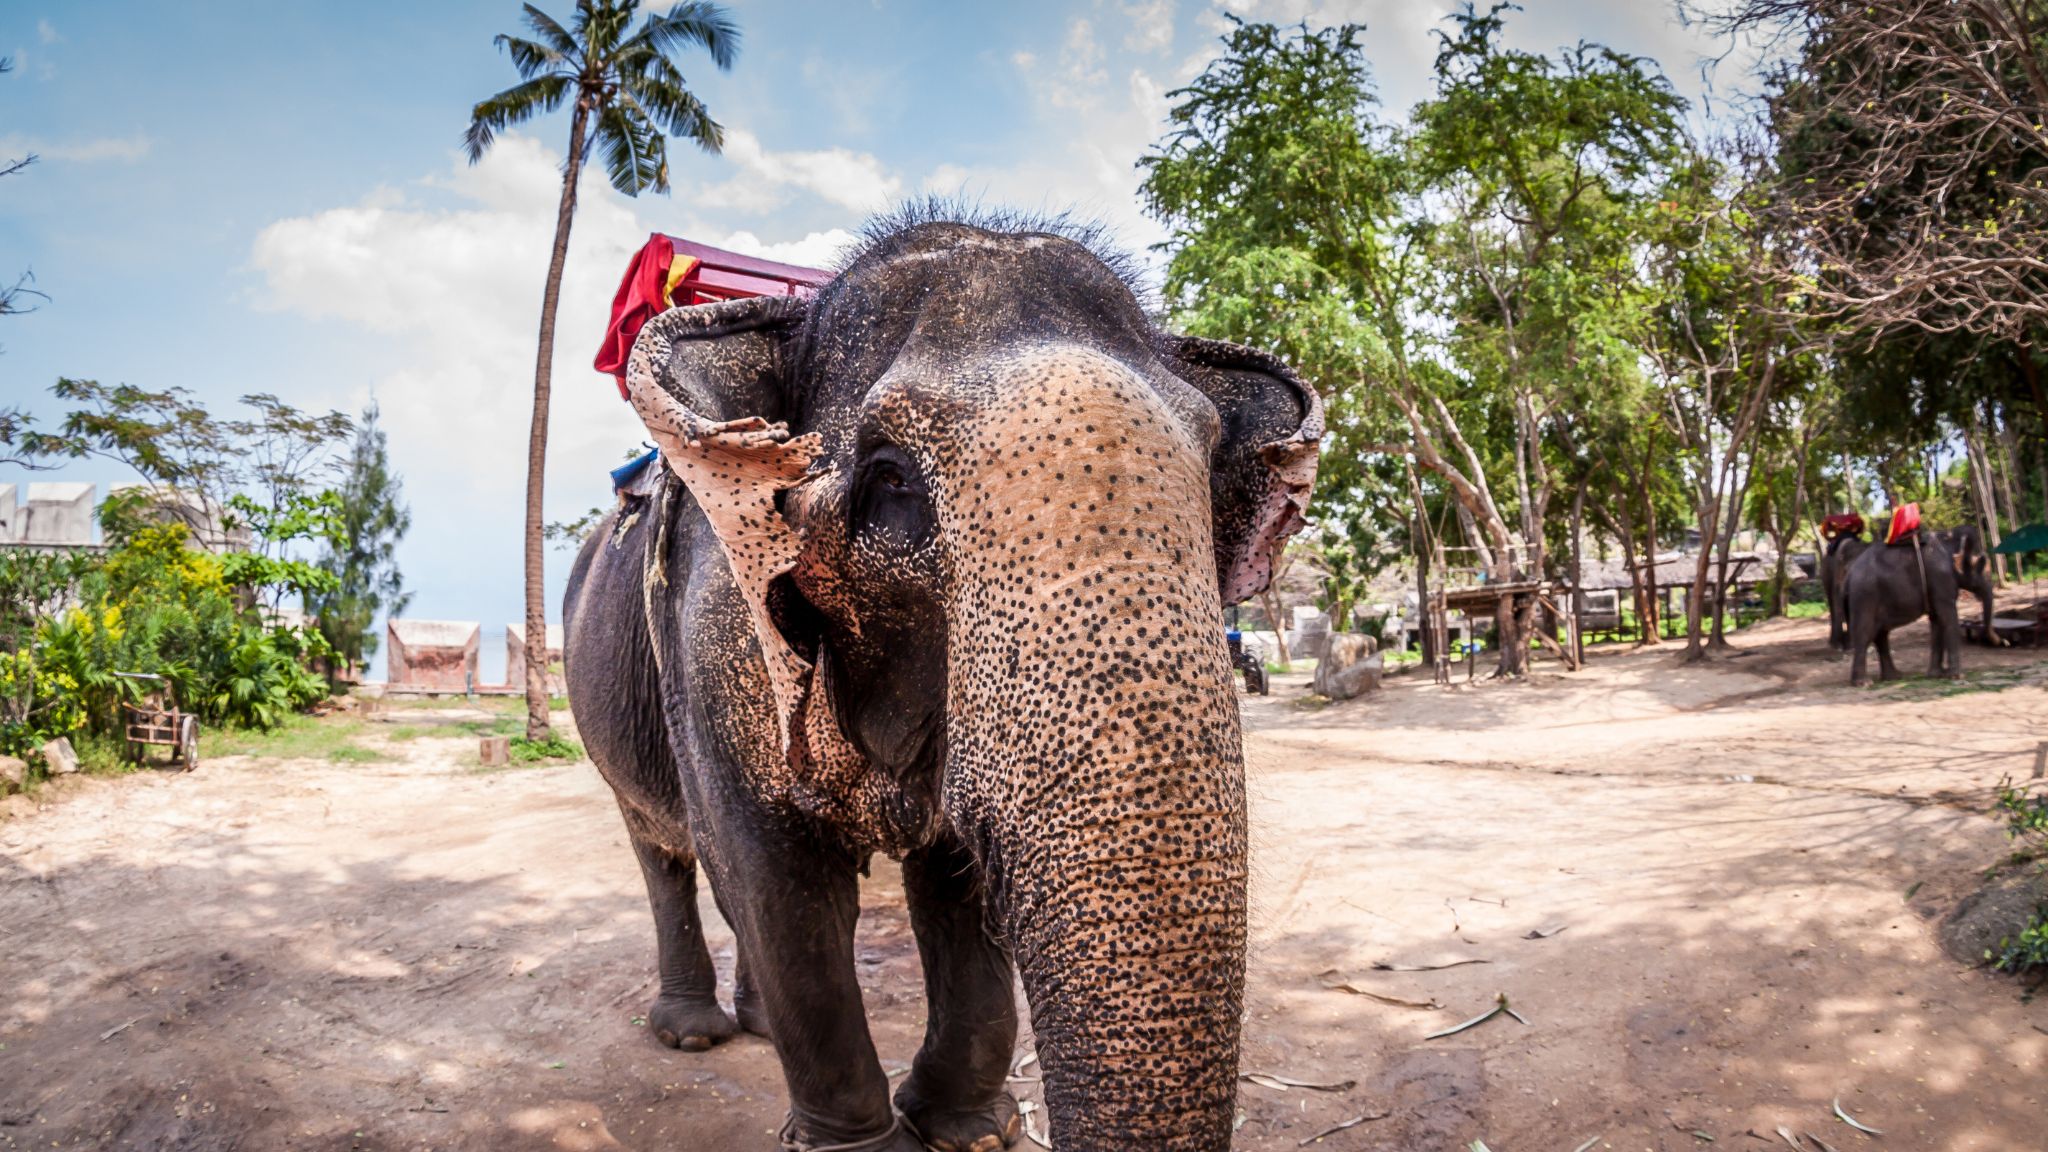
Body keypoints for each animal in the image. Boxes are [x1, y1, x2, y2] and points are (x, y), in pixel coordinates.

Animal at [563, 209, 1323, 1152]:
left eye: (1211, 468)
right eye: (890, 478)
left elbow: (956, 879)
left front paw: (969, 1130)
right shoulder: (718, 630)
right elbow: (775, 877)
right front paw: (867, 1145)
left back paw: (757, 1026)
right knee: (668, 852)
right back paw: (695, 1032)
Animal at [1843, 528, 1963, 685]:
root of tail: (1848, 576)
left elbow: (1937, 618)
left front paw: (1936, 675)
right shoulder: (1940, 575)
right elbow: (1946, 616)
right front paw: (1955, 676)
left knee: (1880, 634)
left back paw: (1893, 677)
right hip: (1864, 596)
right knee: (1865, 633)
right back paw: (1864, 683)